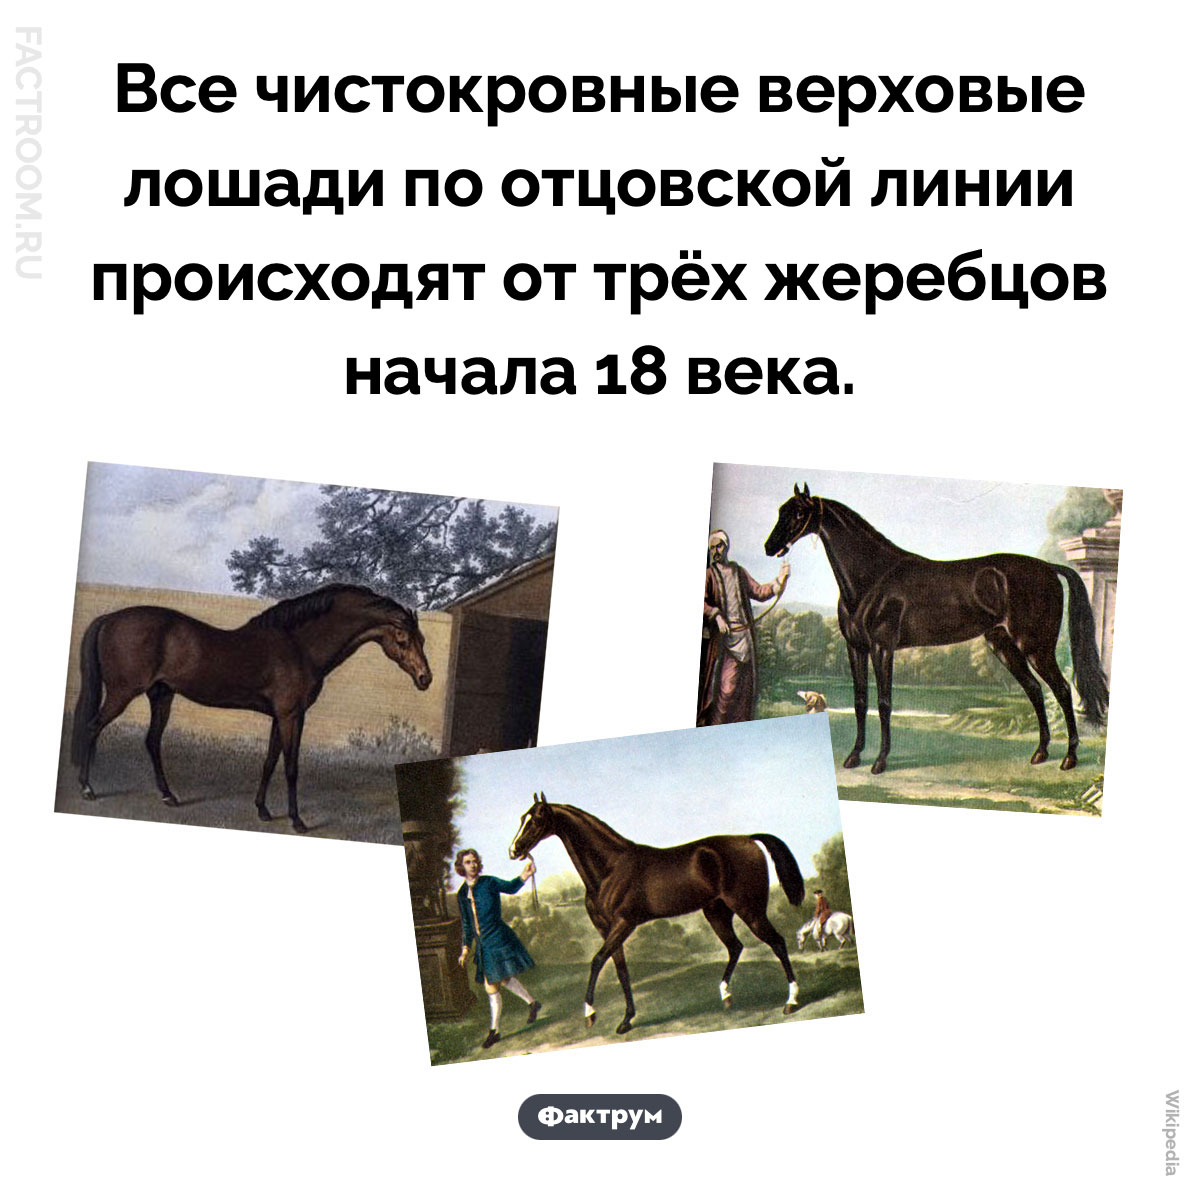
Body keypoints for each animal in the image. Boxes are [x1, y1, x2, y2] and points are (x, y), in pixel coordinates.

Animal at [70, 583, 432, 833]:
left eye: (423, 639)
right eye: (402, 638)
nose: (425, 678)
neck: (298, 645)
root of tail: (110, 618)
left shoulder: (280, 717)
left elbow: (270, 761)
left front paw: (263, 810)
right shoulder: (291, 716)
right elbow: (291, 766)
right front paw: (297, 821)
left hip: (161, 695)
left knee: (151, 742)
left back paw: (168, 796)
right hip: (123, 693)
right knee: (92, 728)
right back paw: (87, 789)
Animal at [508, 793, 806, 1035]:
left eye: (536, 819)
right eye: (522, 818)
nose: (513, 850)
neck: (610, 868)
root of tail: (749, 839)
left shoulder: (624, 923)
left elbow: (597, 961)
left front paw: (590, 1014)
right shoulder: (607, 929)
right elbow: (621, 970)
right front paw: (626, 1020)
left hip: (749, 909)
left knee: (777, 942)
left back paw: (791, 1002)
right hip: (716, 912)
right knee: (735, 946)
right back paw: (726, 997)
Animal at [764, 484, 1109, 775]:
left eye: (798, 513)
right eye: (781, 510)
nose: (770, 547)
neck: (872, 578)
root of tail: (1049, 568)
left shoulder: (882, 648)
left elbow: (884, 703)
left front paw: (880, 762)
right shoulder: (856, 648)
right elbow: (861, 702)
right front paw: (853, 757)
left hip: (1036, 647)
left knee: (1062, 690)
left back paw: (1069, 758)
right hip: (1003, 645)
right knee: (1035, 690)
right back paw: (1040, 753)